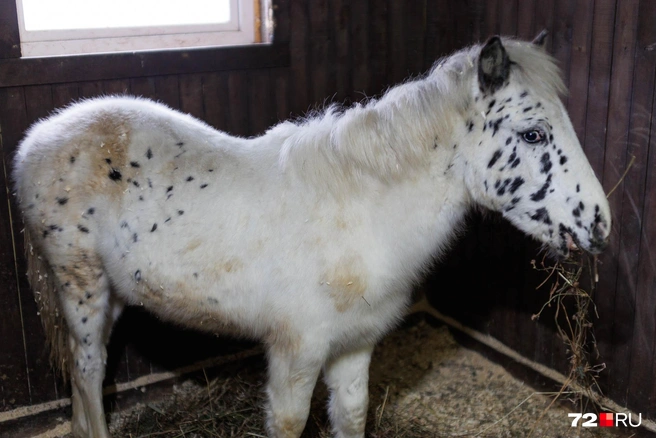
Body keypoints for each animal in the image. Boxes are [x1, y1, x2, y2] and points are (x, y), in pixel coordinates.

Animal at [12, 34, 612, 438]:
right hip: (81, 288)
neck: (362, 213)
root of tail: (36, 140)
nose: (600, 224)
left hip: (113, 292)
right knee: (88, 370)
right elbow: (291, 422)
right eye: (532, 134)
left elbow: (350, 414)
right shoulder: (295, 354)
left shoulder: (354, 347)